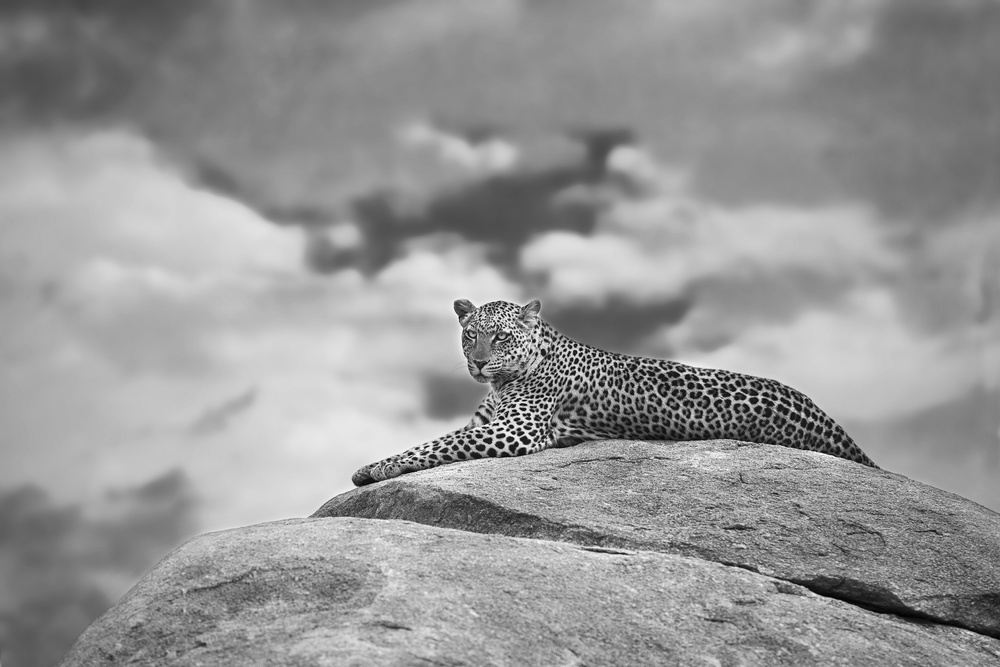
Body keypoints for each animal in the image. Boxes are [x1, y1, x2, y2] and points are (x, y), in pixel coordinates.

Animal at [352, 299, 878, 486]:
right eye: (469, 335)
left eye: (500, 337)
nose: (478, 362)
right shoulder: (487, 422)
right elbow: (437, 440)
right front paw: (373, 465)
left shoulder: (514, 430)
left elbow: (436, 445)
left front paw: (378, 468)